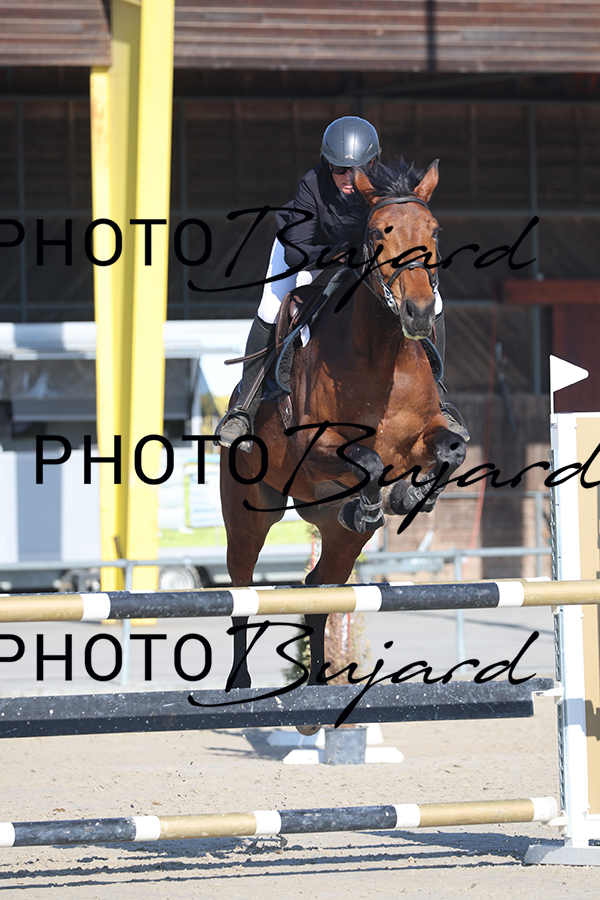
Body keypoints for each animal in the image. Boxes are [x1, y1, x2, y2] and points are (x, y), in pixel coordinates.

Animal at [219, 159, 467, 690]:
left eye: (435, 231)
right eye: (375, 233)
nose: (419, 313)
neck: (382, 357)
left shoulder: (426, 436)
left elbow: (451, 450)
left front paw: (411, 496)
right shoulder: (316, 452)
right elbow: (368, 460)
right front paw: (378, 502)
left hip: (337, 538)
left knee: (319, 588)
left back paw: (317, 683)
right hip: (251, 511)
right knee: (242, 586)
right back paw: (241, 679)